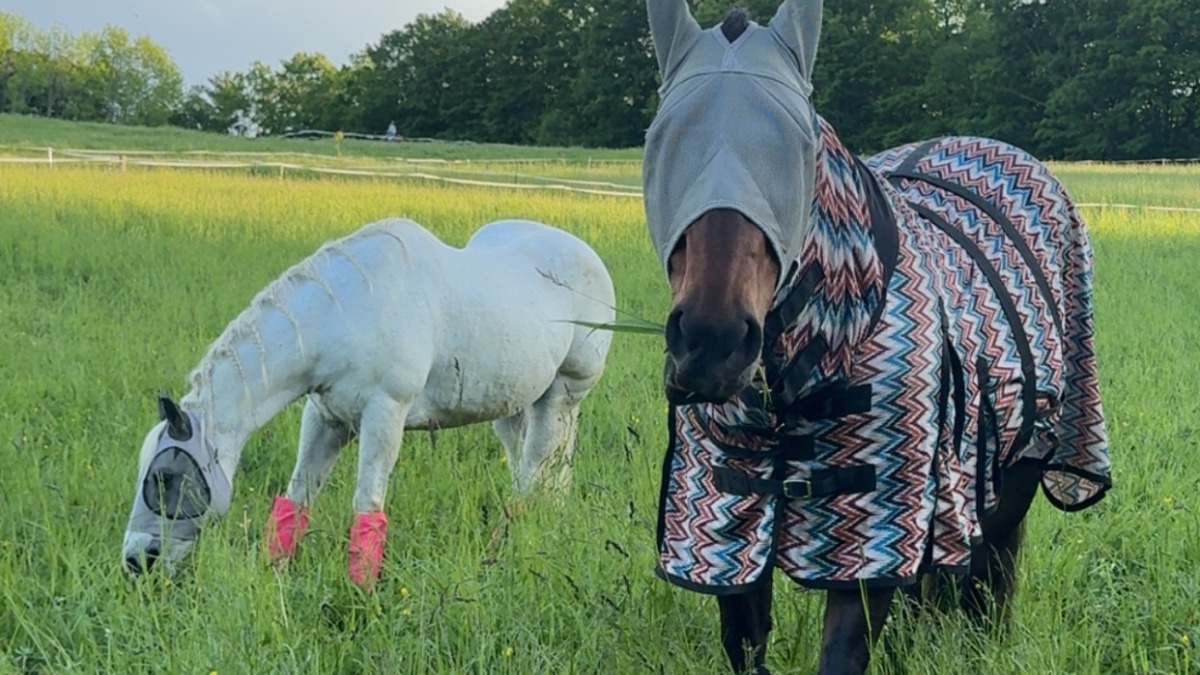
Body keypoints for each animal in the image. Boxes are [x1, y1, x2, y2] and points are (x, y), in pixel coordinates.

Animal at [121, 218, 615, 587]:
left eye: (165, 476)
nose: (137, 560)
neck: (344, 314)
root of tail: (586, 252)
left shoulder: (385, 414)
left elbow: (367, 509)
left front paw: (360, 596)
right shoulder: (326, 418)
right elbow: (296, 499)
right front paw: (274, 575)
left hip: (562, 396)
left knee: (538, 474)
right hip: (513, 406)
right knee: (533, 475)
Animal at [641, 1, 1112, 673]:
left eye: (800, 146)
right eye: (659, 140)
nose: (712, 341)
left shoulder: (874, 536)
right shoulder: (727, 528)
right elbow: (747, 640)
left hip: (1018, 470)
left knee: (988, 582)